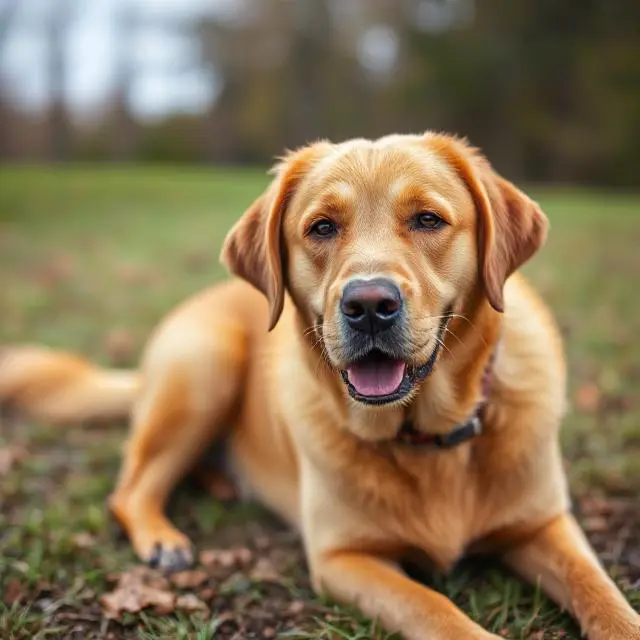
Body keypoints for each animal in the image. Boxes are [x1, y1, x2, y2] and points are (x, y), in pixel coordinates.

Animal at [1, 132, 640, 636]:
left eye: (428, 219)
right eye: (322, 227)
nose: (369, 304)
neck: (426, 437)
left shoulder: (546, 523)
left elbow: (602, 592)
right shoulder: (343, 558)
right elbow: (438, 612)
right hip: (205, 366)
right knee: (129, 488)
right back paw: (164, 539)